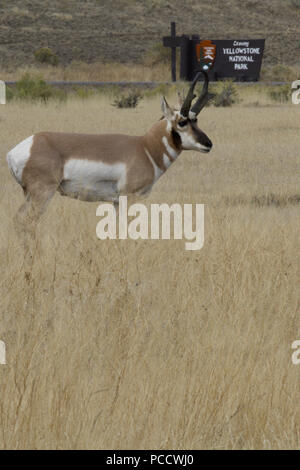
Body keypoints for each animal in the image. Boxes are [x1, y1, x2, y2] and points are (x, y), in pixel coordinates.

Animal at [7, 70, 213, 226]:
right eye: (182, 122)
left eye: (196, 120)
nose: (208, 144)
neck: (145, 147)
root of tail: (20, 148)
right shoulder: (129, 198)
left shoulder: (116, 203)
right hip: (42, 195)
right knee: (26, 222)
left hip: (30, 196)